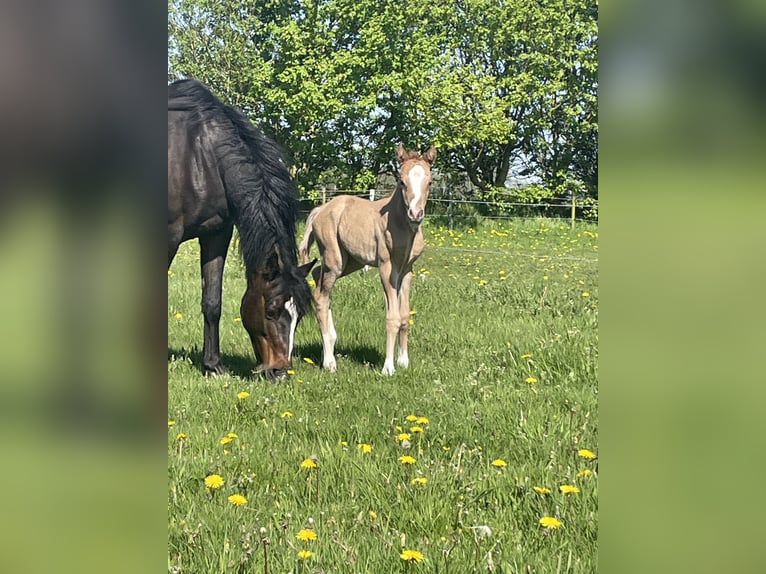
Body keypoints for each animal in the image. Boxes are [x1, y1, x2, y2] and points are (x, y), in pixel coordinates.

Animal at [168, 79, 316, 380]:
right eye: (270, 311)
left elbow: (212, 302)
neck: (200, 158)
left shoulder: (216, 234)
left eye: (299, 315)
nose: (280, 372)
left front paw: (213, 365)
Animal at [298, 146, 436, 376]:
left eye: (430, 182)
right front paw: (388, 367)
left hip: (350, 261)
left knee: (317, 275)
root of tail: (319, 210)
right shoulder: (387, 268)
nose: (415, 214)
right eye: (401, 181)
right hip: (335, 261)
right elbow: (392, 317)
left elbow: (404, 316)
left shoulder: (407, 270)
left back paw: (331, 344)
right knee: (320, 297)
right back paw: (329, 362)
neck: (401, 224)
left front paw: (404, 362)